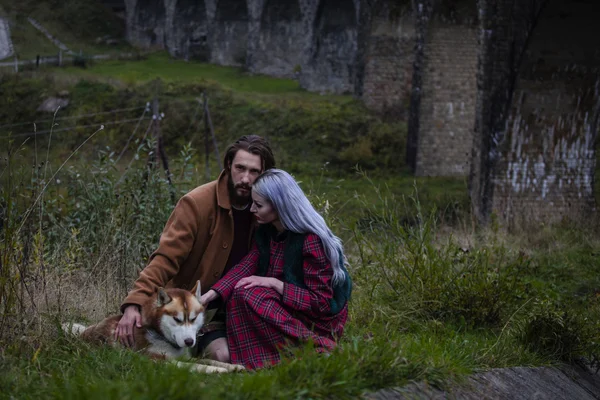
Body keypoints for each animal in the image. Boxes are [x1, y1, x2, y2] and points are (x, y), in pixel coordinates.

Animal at [63, 280, 244, 374]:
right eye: (177, 319)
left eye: (193, 319)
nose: (189, 342)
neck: (162, 336)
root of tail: (82, 334)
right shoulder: (156, 361)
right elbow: (199, 366)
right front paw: (219, 370)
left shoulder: (184, 357)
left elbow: (208, 360)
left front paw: (234, 366)